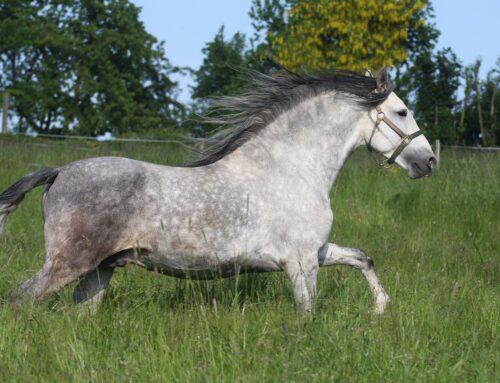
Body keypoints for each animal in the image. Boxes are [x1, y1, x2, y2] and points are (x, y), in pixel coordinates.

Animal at [0, 68, 436, 316]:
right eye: (402, 112)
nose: (429, 161)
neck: (293, 167)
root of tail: (58, 173)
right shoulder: (300, 264)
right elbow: (308, 313)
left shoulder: (317, 251)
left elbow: (362, 258)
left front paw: (380, 309)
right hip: (69, 263)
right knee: (19, 301)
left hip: (100, 270)